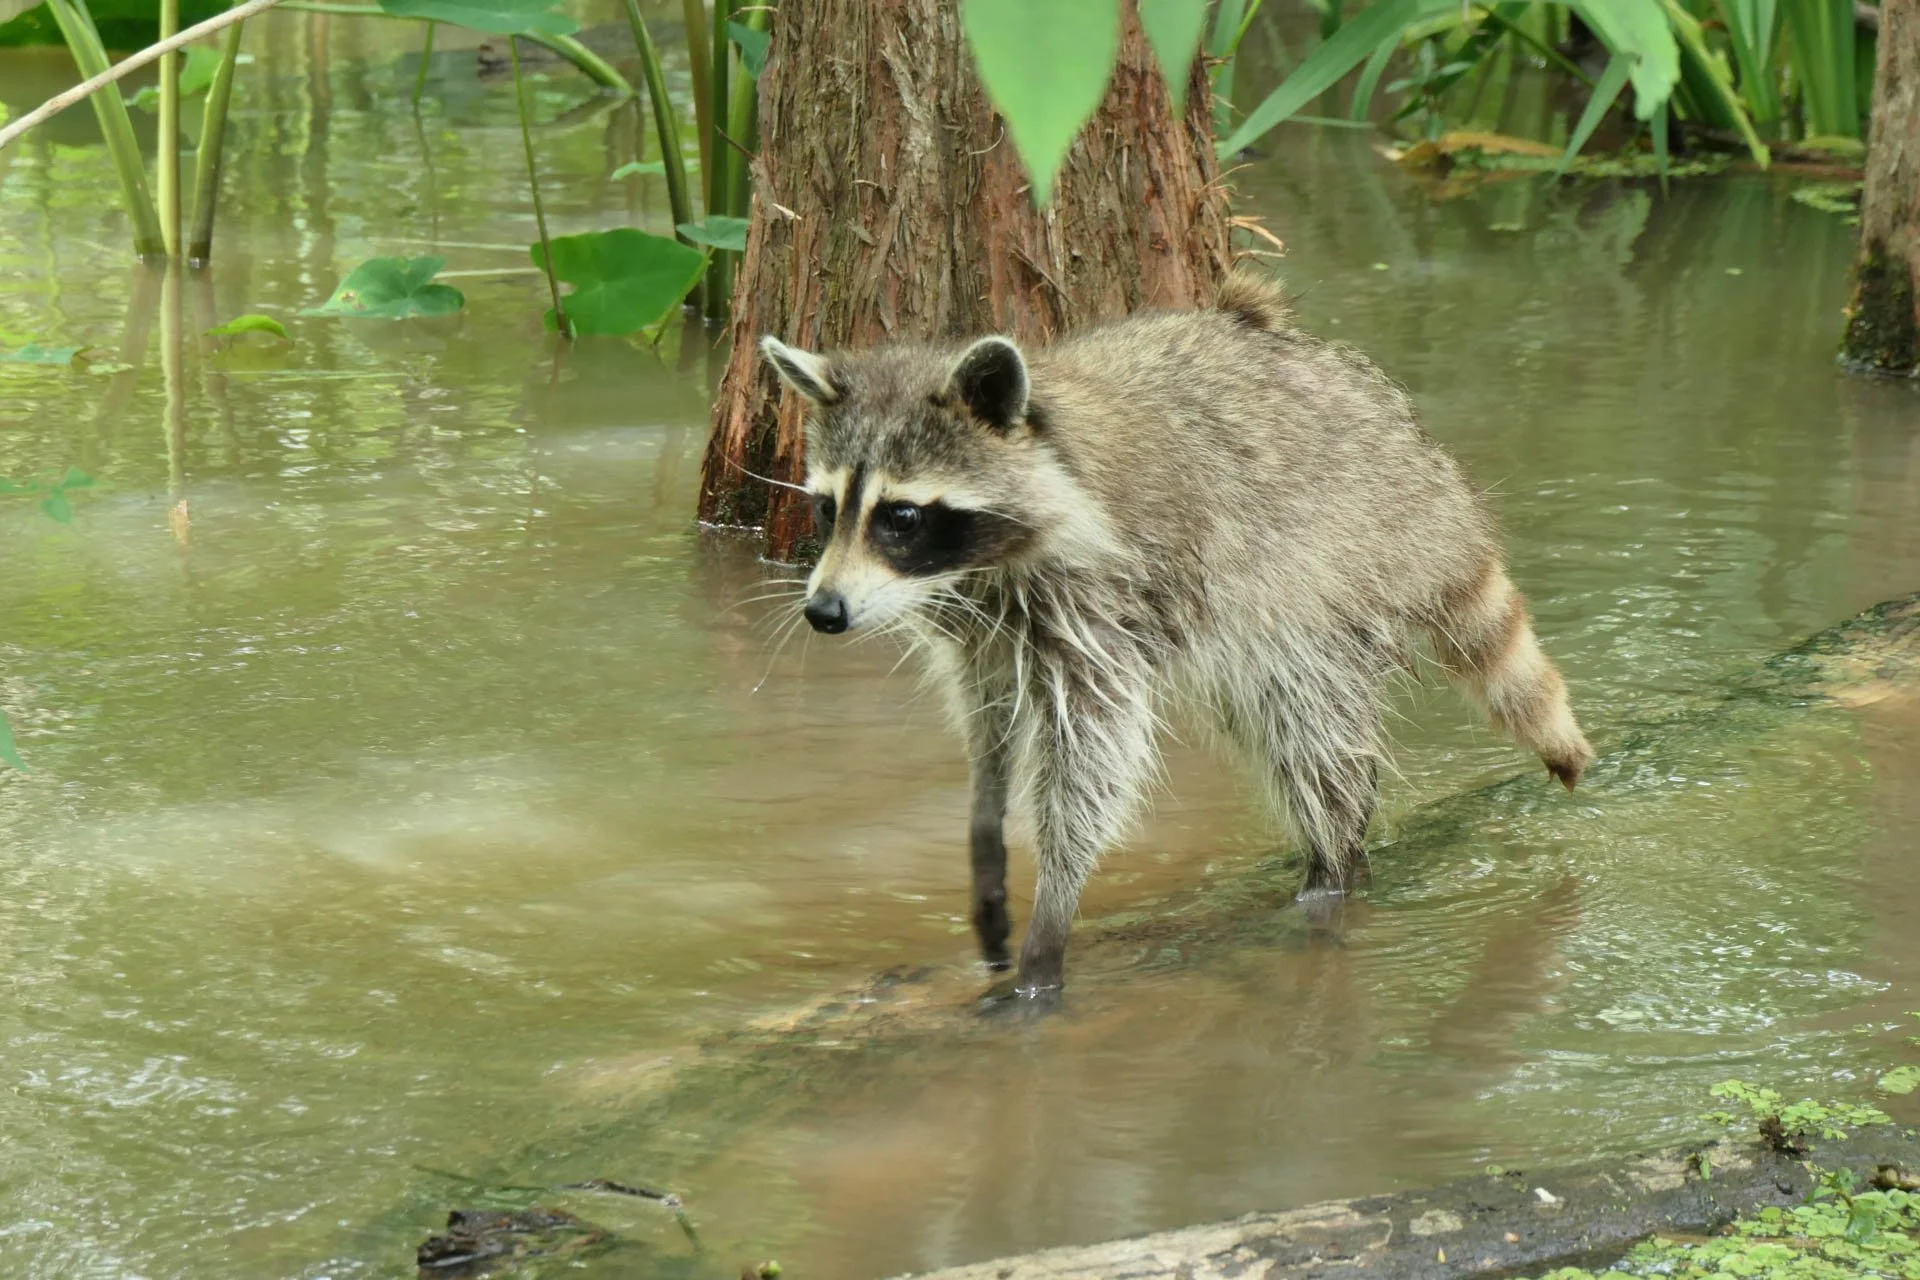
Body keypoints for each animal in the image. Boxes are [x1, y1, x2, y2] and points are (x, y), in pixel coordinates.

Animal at [760, 269, 1594, 999]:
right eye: (827, 507)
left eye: (901, 517)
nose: (823, 611)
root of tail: (1411, 452)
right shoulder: (981, 629)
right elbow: (990, 723)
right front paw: (986, 826)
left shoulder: (1097, 610)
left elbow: (1092, 764)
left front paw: (1052, 916)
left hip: (1316, 580)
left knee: (1313, 738)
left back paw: (1333, 869)